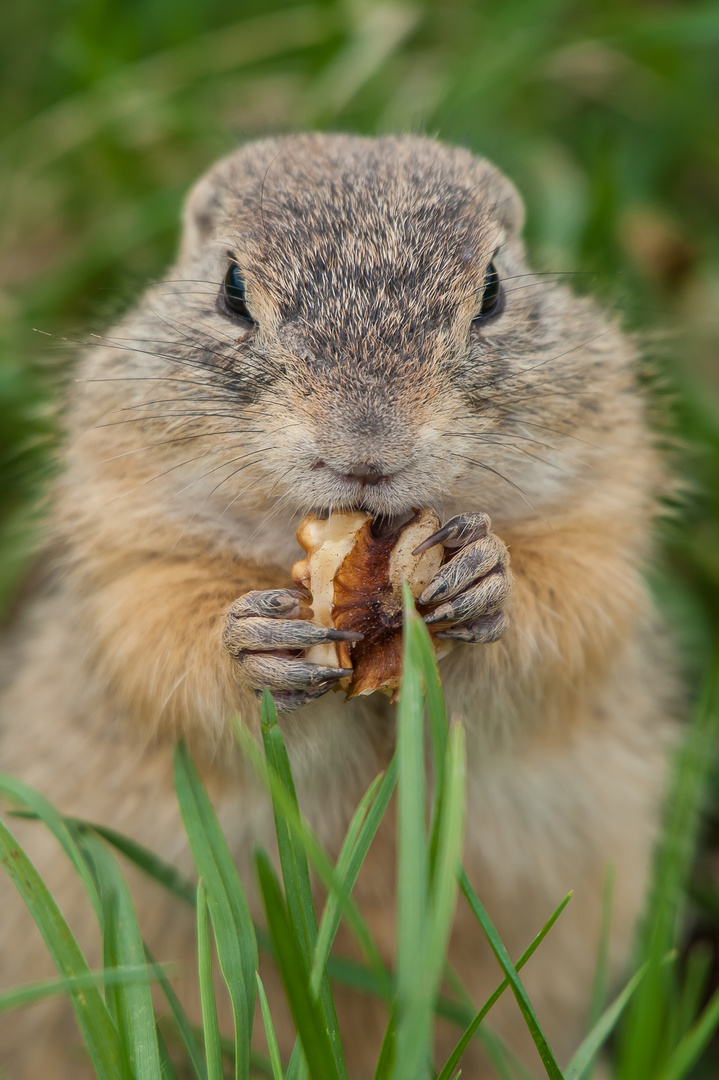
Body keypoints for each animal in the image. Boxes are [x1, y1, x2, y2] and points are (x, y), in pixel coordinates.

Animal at [0, 130, 673, 1075]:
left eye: (493, 292)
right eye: (231, 290)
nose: (365, 450)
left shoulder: (605, 495)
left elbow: (577, 599)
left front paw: (482, 577)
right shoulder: (123, 531)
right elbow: (158, 628)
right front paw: (254, 644)